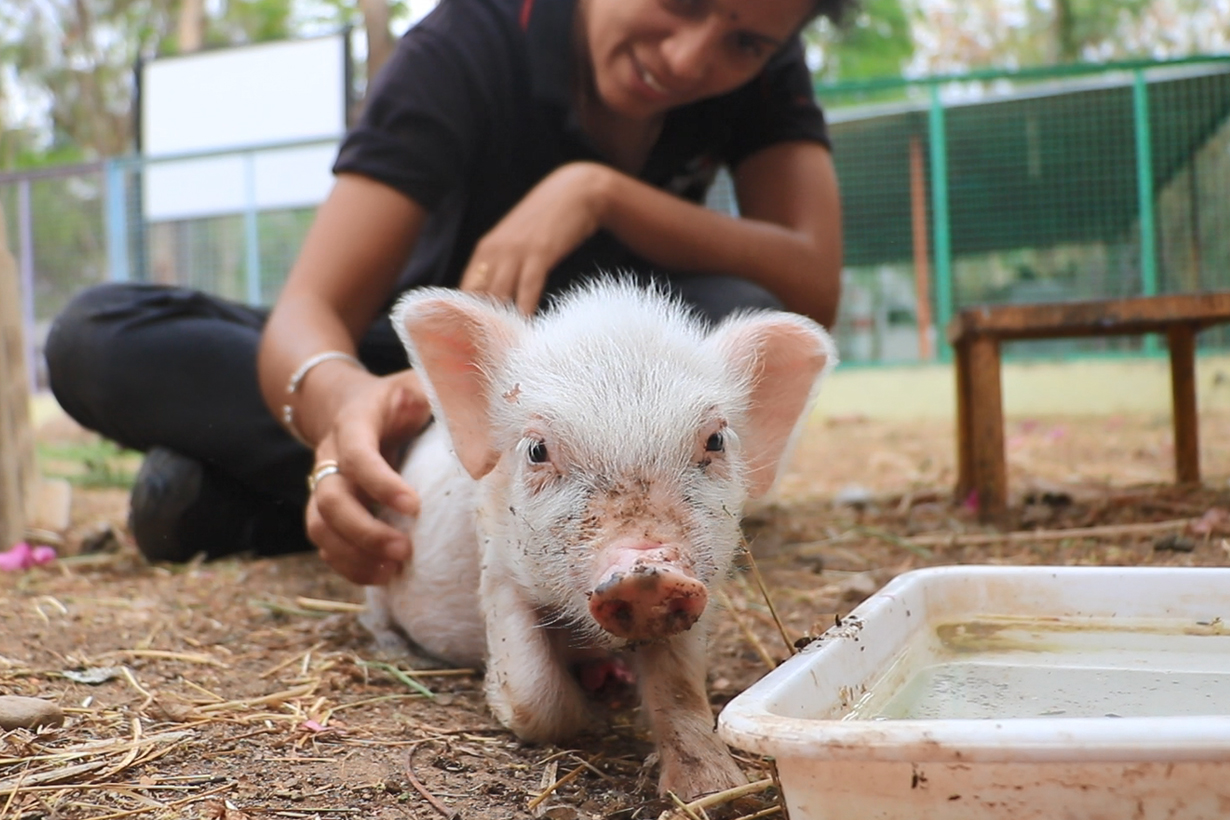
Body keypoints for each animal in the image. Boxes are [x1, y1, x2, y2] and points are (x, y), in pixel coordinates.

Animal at [362, 280, 836, 800]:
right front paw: (576, 714)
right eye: (537, 450)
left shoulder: (700, 592)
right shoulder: (498, 567)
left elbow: (680, 688)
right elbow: (536, 697)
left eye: (715, 441)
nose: (646, 567)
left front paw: (711, 791)